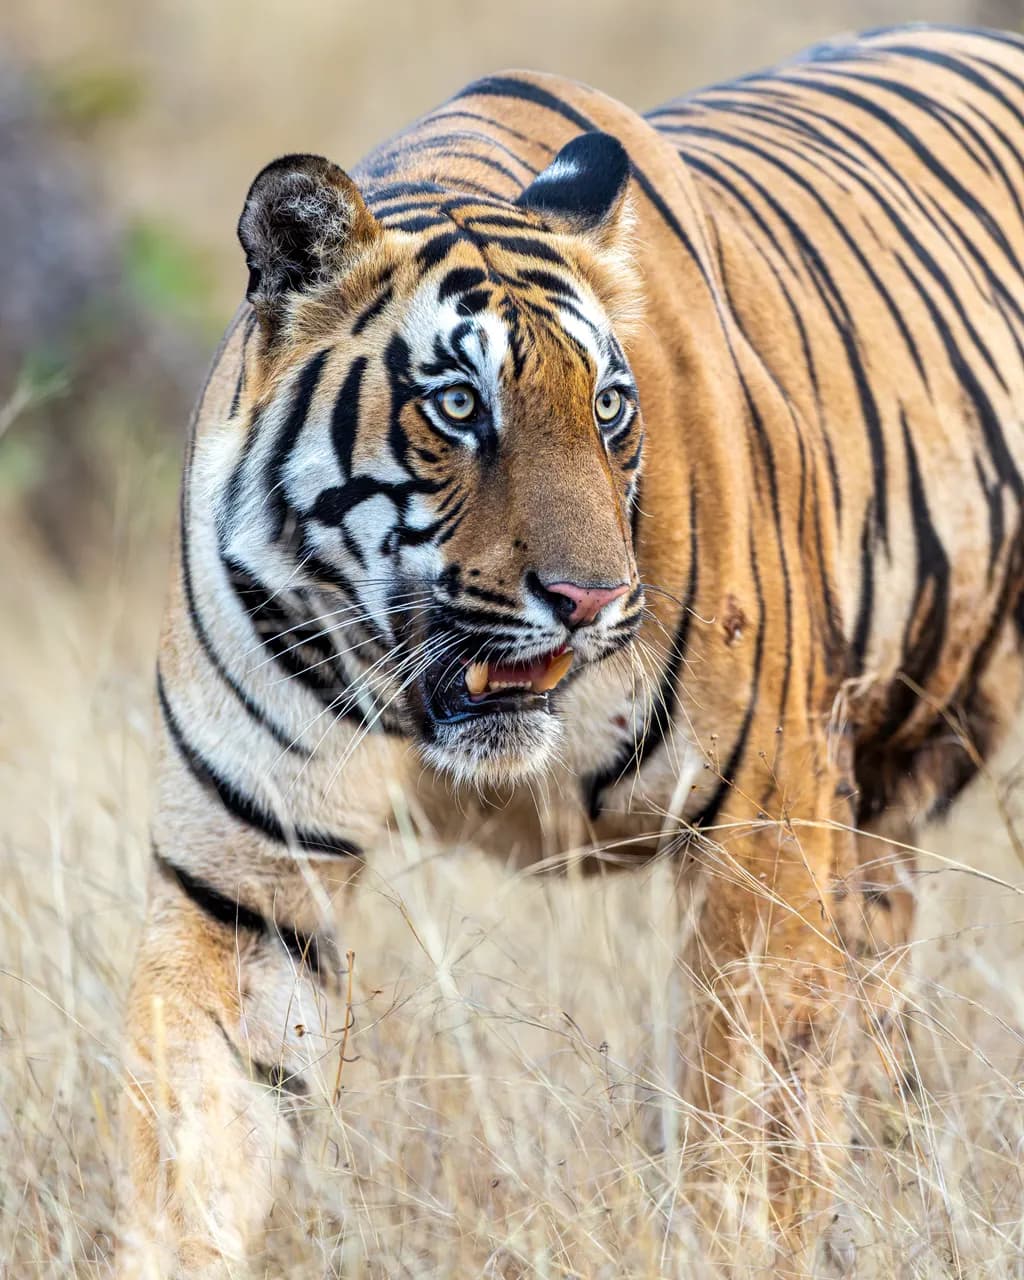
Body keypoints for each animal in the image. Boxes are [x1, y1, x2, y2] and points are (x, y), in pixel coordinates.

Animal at [119, 23, 1024, 1277]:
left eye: (607, 409)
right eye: (458, 406)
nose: (591, 598)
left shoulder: (763, 838)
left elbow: (746, 1145)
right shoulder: (244, 880)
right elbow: (195, 1145)